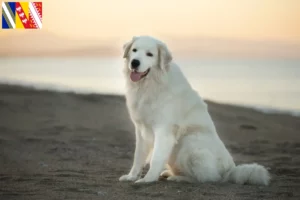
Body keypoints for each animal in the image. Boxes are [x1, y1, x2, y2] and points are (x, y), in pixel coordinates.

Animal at [118, 36, 270, 186]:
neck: (149, 85)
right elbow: (138, 156)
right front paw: (131, 176)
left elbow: (156, 158)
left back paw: (178, 178)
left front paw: (147, 179)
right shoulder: (141, 129)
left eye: (149, 54)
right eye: (134, 50)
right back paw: (170, 173)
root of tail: (230, 170)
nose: (134, 62)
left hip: (190, 143)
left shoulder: (164, 130)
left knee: (206, 178)